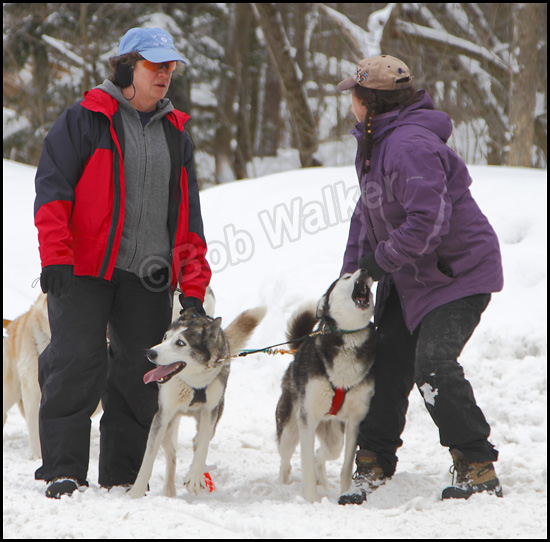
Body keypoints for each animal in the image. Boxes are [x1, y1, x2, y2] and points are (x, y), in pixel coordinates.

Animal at [129, 304, 268, 500]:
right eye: (165, 337)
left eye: (180, 343)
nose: (151, 353)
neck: (194, 382)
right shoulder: (163, 415)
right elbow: (149, 457)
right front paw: (136, 492)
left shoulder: (211, 411)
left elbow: (203, 446)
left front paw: (194, 478)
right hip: (168, 427)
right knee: (172, 455)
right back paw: (169, 491)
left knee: (198, 441)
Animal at [278, 272, 378, 506]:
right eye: (347, 276)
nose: (366, 269)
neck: (348, 339)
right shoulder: (307, 420)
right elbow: (305, 464)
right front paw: (311, 501)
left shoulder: (355, 421)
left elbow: (346, 467)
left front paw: (346, 492)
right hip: (289, 431)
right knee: (286, 459)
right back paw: (283, 483)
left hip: (334, 437)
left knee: (321, 454)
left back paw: (322, 482)